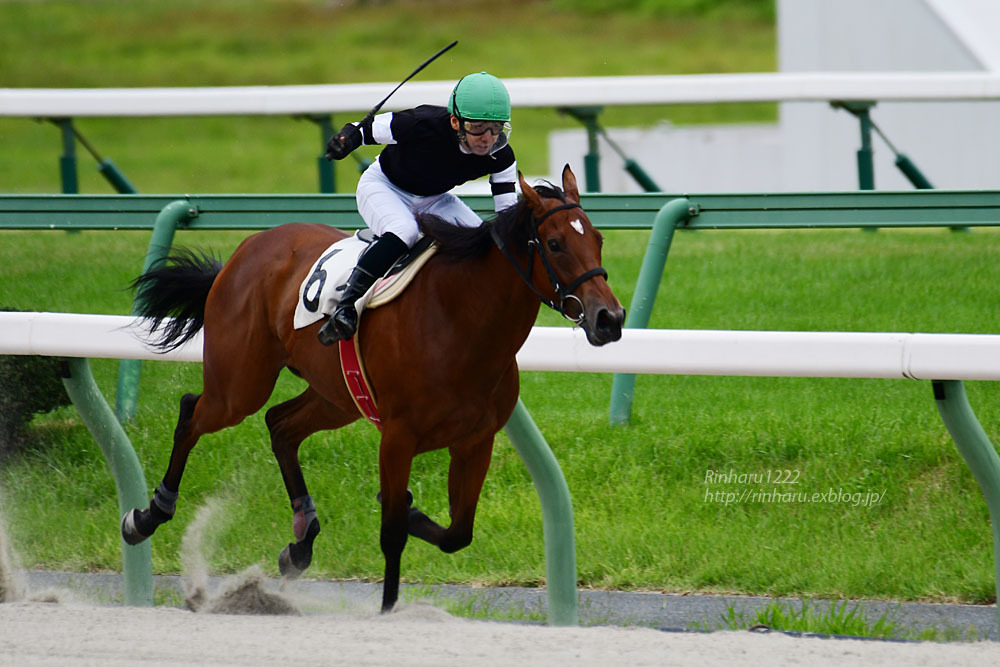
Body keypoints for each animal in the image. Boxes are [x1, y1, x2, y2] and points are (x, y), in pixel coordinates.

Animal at [121, 166, 620, 612]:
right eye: (555, 244)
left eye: (596, 239)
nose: (609, 319)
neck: (460, 319)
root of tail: (247, 248)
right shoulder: (398, 437)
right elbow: (392, 533)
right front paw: (388, 606)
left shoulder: (475, 440)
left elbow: (457, 532)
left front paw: (410, 510)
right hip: (239, 384)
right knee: (193, 413)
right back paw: (147, 515)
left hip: (335, 396)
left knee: (280, 425)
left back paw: (300, 542)